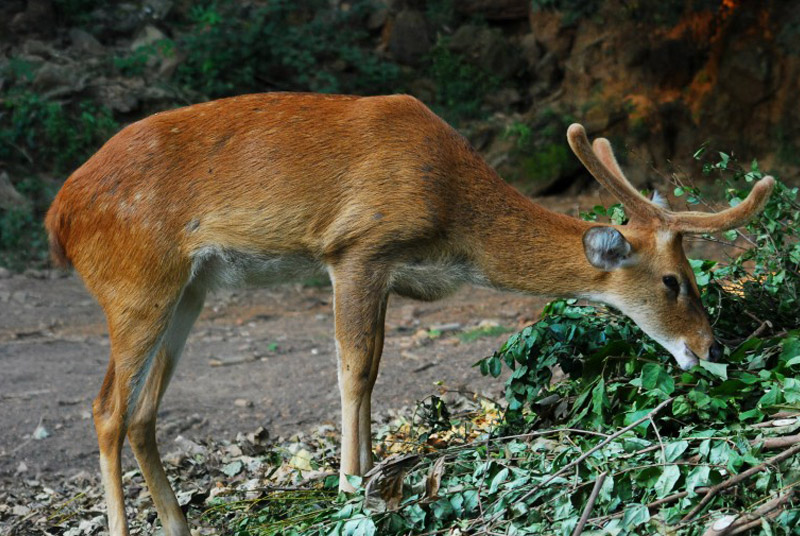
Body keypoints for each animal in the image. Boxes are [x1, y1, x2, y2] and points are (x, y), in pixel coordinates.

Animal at [45, 94, 776, 532]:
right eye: (674, 281)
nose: (713, 349)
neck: (454, 218)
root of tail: (60, 214)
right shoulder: (357, 248)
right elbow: (354, 369)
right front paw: (348, 485)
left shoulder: (388, 273)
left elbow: (375, 370)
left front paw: (372, 471)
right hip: (135, 282)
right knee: (106, 408)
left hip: (191, 288)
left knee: (143, 412)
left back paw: (179, 522)